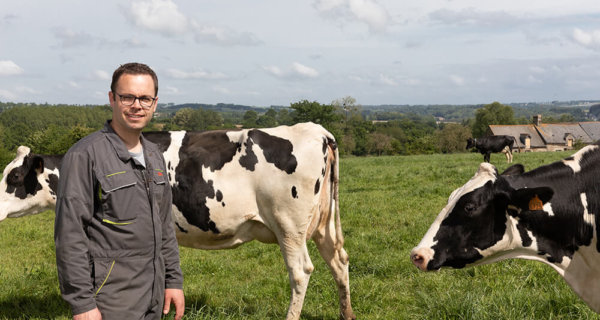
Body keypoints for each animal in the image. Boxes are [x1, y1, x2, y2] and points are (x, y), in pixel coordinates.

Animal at [0, 123, 356, 320]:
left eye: (14, 177)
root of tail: (316, 130)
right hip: (322, 224)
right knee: (339, 261)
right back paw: (347, 314)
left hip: (289, 225)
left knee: (301, 272)